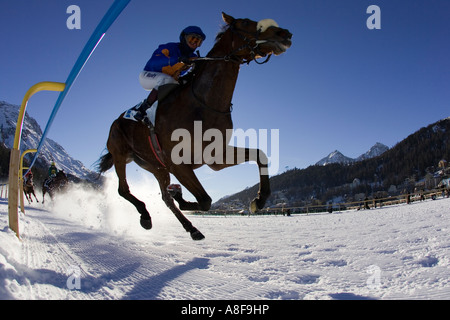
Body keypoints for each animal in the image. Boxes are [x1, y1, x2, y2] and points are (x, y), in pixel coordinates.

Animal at [98, 12, 292, 240]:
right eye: (245, 22)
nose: (283, 33)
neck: (203, 103)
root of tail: (117, 120)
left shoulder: (214, 157)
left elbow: (260, 155)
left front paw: (259, 200)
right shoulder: (177, 163)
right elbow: (205, 200)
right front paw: (182, 197)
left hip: (156, 167)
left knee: (165, 198)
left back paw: (191, 226)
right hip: (120, 153)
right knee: (124, 190)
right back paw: (146, 216)